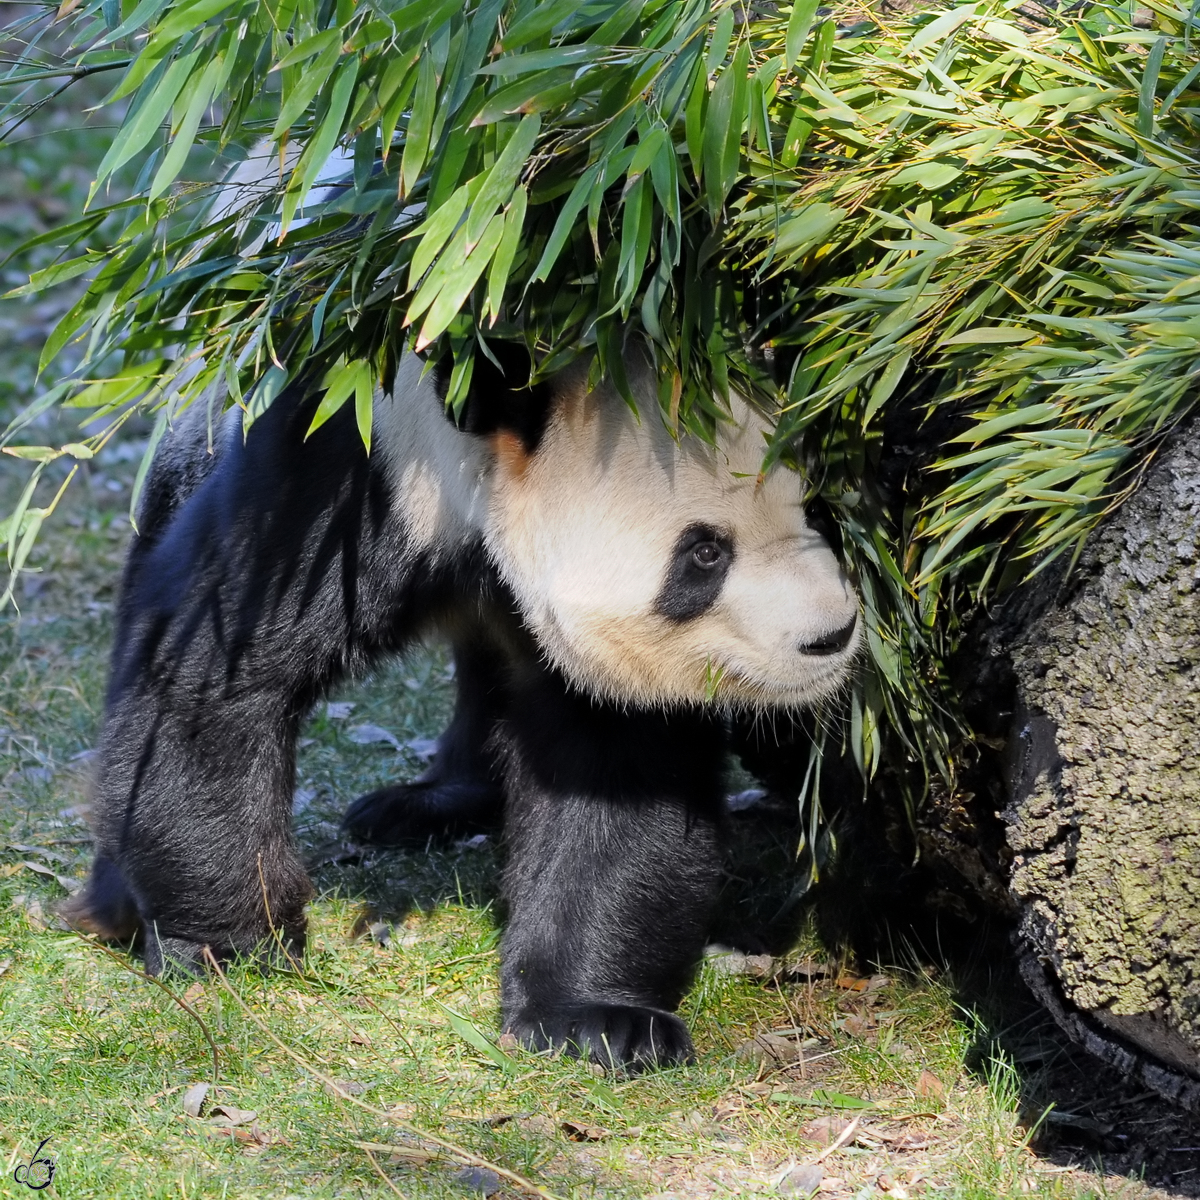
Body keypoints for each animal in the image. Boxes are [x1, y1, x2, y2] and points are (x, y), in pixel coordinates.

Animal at [60, 345, 859, 1070]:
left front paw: (596, 1021)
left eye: (818, 509)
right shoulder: (342, 477)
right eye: (705, 554)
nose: (829, 636)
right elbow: (215, 677)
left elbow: (615, 771)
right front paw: (226, 946)